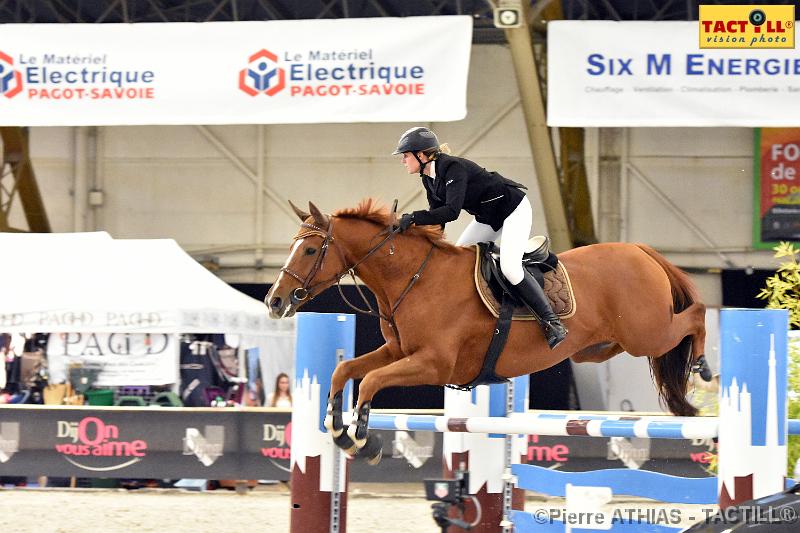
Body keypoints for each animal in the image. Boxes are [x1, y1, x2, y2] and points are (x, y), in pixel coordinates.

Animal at [268, 200, 708, 462]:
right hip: (603, 346)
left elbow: (372, 381)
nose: (274, 301)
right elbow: (345, 370)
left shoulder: (433, 364)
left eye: (310, 250)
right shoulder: (397, 352)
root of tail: (641, 250)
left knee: (696, 315)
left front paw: (364, 439)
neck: (414, 278)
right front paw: (337, 428)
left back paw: (702, 366)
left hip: (648, 332)